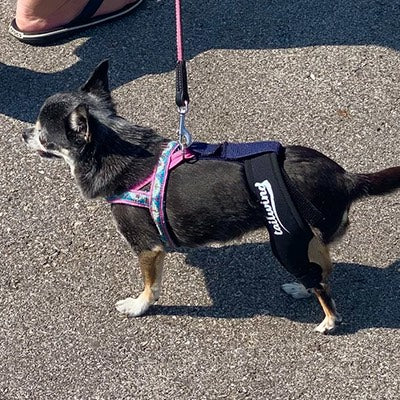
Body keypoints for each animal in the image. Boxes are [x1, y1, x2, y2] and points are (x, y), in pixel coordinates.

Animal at [22, 60, 400, 334]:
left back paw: (327, 321)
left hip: (287, 239)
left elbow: (150, 285)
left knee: (323, 287)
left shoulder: (147, 248)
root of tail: (345, 177)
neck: (118, 146)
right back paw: (301, 288)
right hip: (306, 241)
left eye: (43, 134)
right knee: (321, 272)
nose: (23, 133)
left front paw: (140, 306)